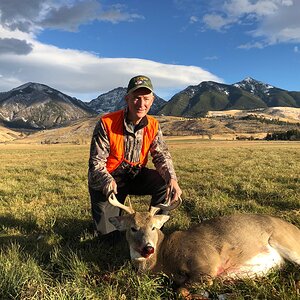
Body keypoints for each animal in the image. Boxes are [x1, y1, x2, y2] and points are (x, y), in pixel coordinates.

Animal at [108, 193, 300, 288]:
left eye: (154, 227)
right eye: (133, 228)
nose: (148, 248)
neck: (163, 258)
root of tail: (295, 228)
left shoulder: (206, 263)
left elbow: (182, 291)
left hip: (287, 242)